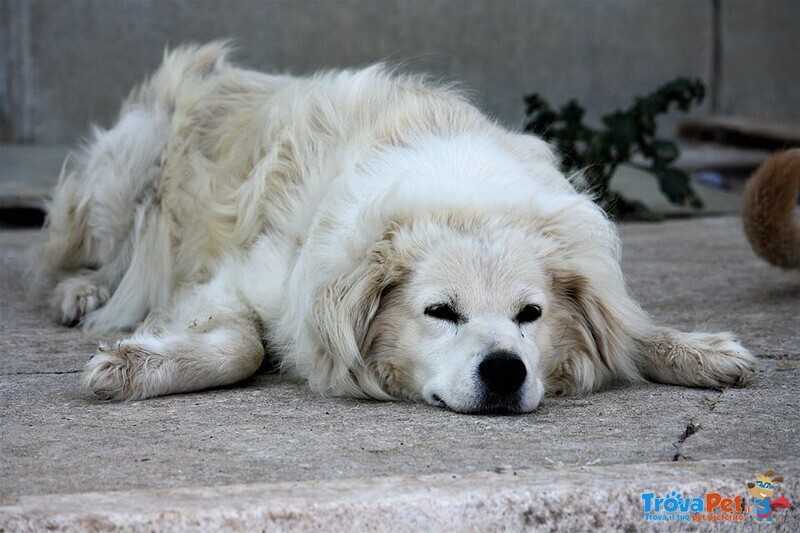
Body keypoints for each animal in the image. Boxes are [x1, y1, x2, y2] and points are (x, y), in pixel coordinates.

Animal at [32, 43, 756, 414]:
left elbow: (629, 328)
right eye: (440, 311)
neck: (463, 200)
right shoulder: (245, 282)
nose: (505, 371)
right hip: (125, 178)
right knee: (70, 258)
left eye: (530, 314)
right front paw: (134, 365)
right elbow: (242, 347)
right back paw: (81, 294)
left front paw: (698, 350)